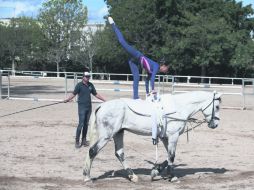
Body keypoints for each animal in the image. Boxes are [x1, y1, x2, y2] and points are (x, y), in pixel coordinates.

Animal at [83, 91, 220, 182]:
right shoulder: (173, 136)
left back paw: (133, 176)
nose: (215, 124)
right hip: (107, 135)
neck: (178, 108)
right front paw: (172, 177)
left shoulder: (165, 137)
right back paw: (87, 177)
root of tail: (102, 105)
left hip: (118, 133)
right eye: (217, 106)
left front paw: (156, 171)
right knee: (93, 151)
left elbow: (168, 157)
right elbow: (172, 156)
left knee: (119, 153)